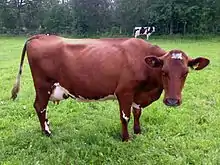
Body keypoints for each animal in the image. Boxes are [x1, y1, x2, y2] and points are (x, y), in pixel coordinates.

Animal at [10, 34, 210, 141]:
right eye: (164, 72)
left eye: (185, 73)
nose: (172, 101)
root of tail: (40, 36)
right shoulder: (124, 92)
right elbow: (125, 117)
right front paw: (126, 138)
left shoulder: (138, 94)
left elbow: (137, 112)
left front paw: (138, 131)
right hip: (43, 85)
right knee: (40, 107)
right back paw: (47, 132)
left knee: (42, 108)